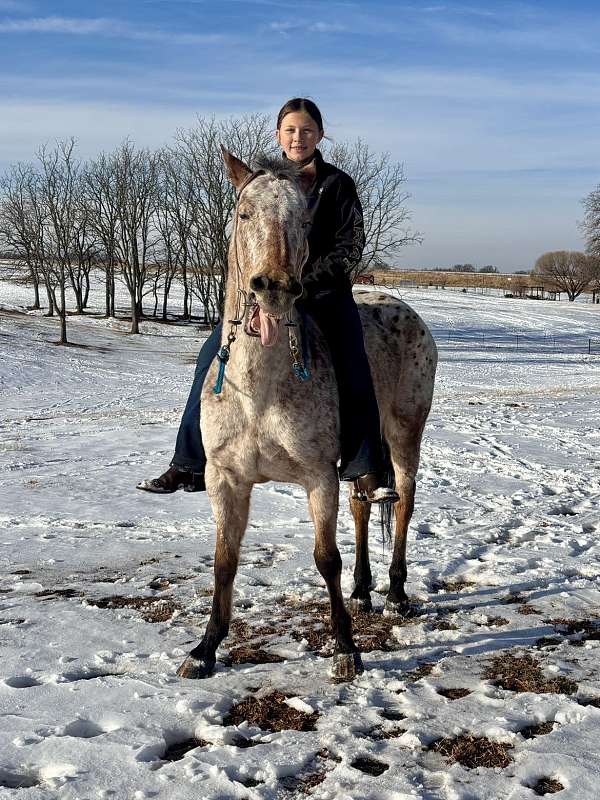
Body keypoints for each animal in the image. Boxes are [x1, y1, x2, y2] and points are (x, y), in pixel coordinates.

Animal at [176, 149, 437, 682]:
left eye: (303, 221)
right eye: (244, 214)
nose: (274, 287)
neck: (260, 391)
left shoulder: (319, 477)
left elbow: (325, 558)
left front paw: (345, 649)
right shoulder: (225, 479)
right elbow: (224, 561)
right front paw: (205, 649)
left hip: (405, 435)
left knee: (403, 503)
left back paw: (396, 593)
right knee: (363, 503)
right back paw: (362, 591)